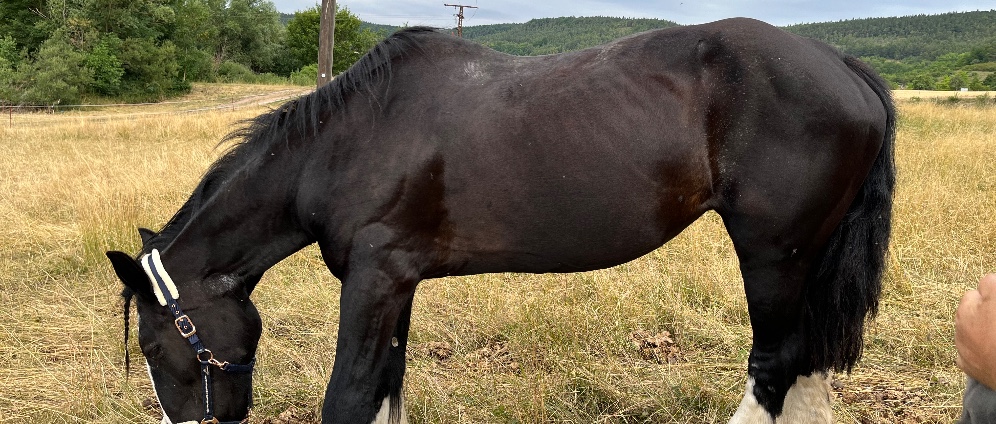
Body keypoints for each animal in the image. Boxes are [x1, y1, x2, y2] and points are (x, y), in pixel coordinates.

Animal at [106, 17, 895, 424]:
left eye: (152, 346)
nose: (199, 423)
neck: (347, 142)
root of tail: (842, 63)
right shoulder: (398, 285)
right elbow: (388, 385)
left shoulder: (373, 281)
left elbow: (351, 395)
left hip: (773, 255)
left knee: (775, 367)